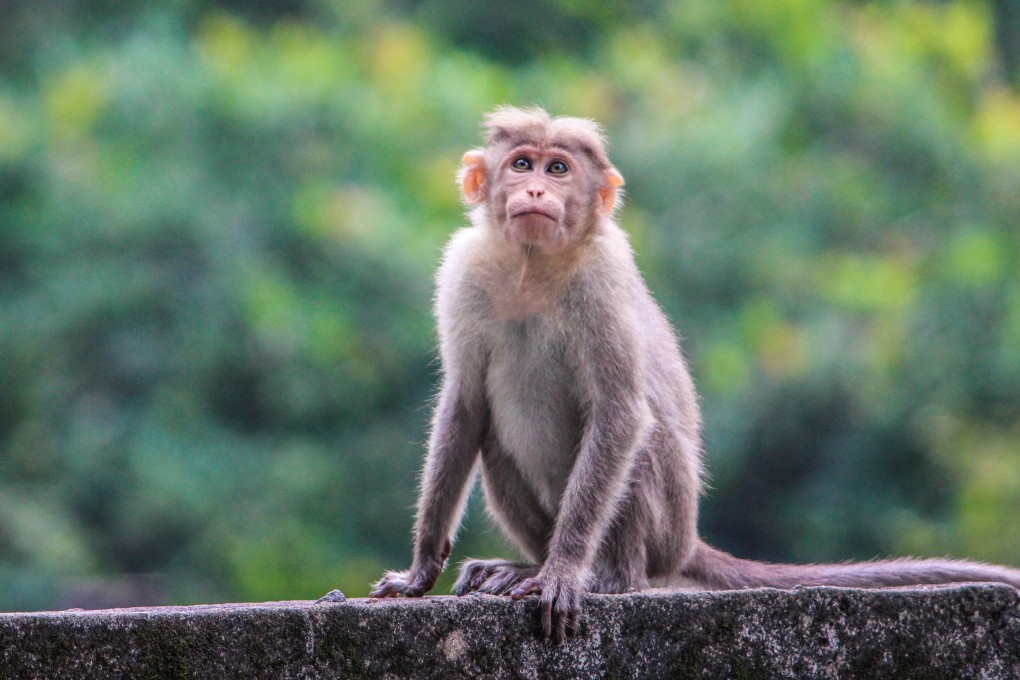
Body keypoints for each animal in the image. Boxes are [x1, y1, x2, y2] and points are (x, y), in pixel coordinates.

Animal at [369, 106, 1020, 642]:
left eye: (558, 169)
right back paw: (523, 565)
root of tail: (688, 542)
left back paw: (607, 577)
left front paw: (563, 573)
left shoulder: (602, 280)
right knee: (495, 440)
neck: (533, 268)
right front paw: (421, 570)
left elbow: (621, 412)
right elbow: (465, 406)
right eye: (521, 163)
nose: (534, 188)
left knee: (643, 441)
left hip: (667, 527)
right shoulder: (463, 274)